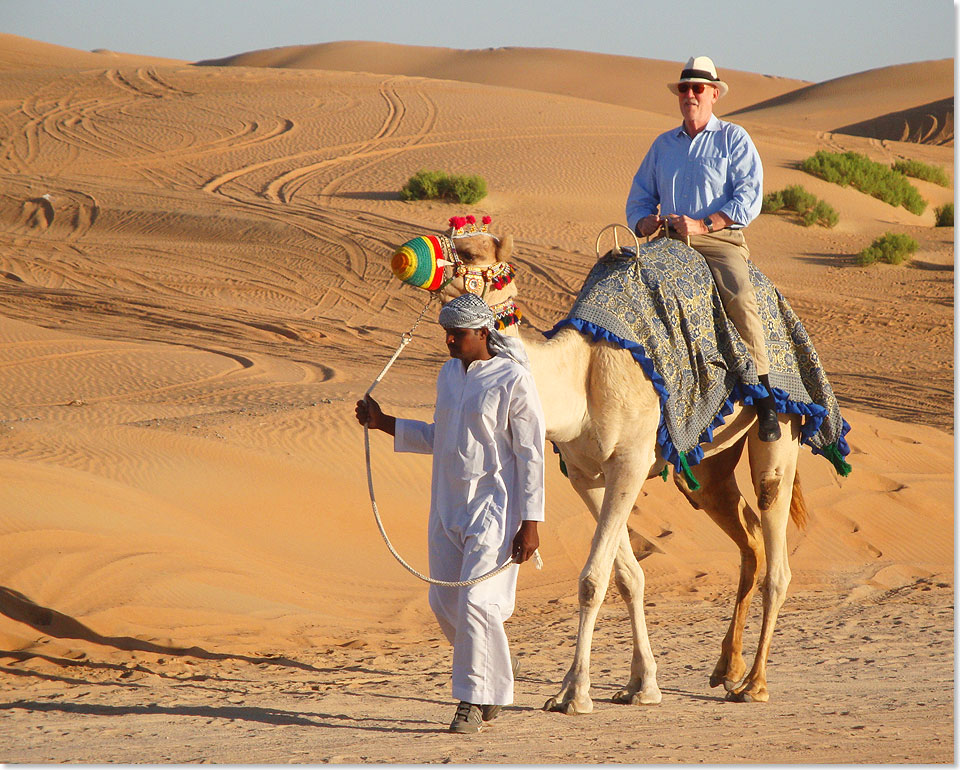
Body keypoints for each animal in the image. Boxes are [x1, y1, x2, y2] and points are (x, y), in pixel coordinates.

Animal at [394, 222, 808, 708]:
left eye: (471, 250)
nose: (403, 257)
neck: (579, 375)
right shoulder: (585, 475)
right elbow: (627, 576)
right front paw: (640, 685)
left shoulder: (629, 462)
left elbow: (593, 579)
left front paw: (574, 693)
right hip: (706, 468)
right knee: (747, 538)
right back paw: (728, 668)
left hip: (783, 429)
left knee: (775, 543)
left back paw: (755, 683)